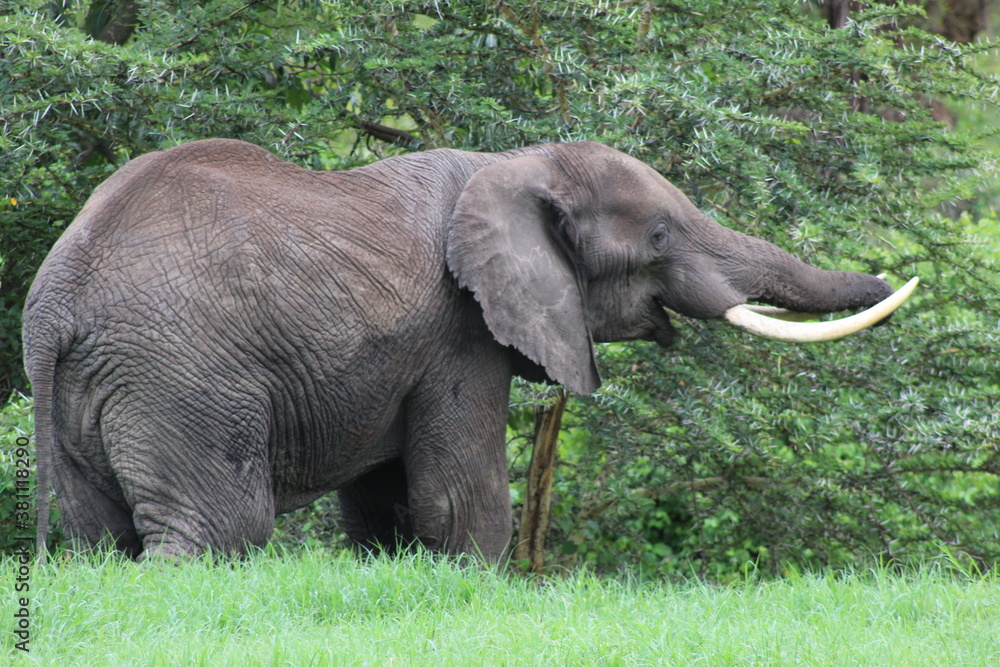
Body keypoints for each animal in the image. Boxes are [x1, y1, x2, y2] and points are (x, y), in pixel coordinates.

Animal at [23, 139, 916, 561]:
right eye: (660, 235)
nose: (895, 275)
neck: (514, 163)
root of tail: (57, 300)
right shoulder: (460, 332)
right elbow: (457, 502)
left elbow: (385, 510)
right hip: (181, 375)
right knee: (218, 527)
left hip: (96, 388)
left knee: (98, 535)